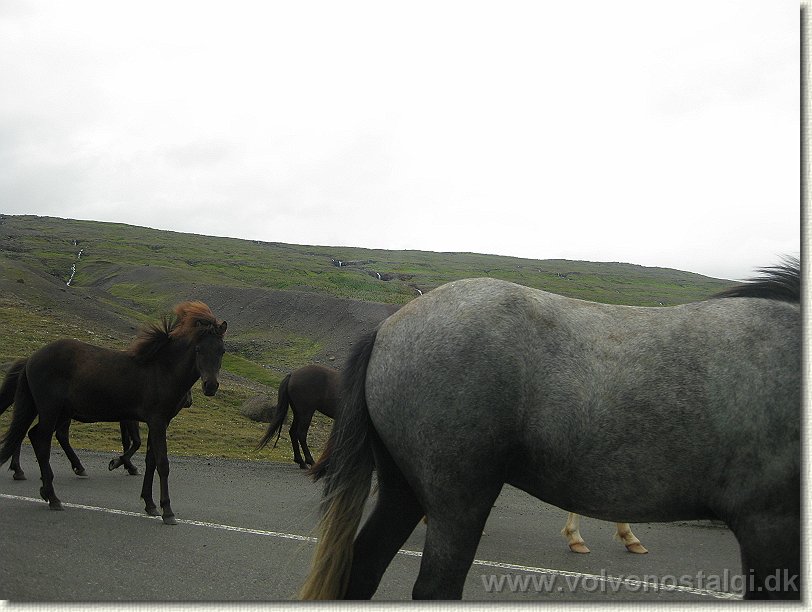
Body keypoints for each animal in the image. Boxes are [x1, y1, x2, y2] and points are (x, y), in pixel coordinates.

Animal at [0, 302, 227, 524]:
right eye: (198, 349)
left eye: (222, 350)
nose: (210, 386)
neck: (162, 370)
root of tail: (32, 357)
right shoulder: (156, 421)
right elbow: (162, 464)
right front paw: (167, 511)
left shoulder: (156, 422)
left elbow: (150, 461)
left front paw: (150, 503)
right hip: (50, 410)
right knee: (42, 443)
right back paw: (53, 497)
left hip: (58, 412)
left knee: (32, 435)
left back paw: (46, 489)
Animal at [302, 260, 800, 600]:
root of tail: (388, 325)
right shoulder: (768, 524)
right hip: (458, 499)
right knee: (435, 587)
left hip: (404, 490)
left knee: (362, 569)